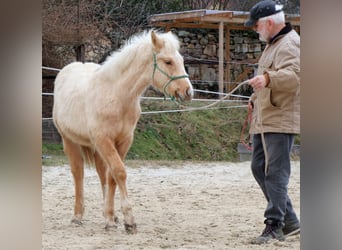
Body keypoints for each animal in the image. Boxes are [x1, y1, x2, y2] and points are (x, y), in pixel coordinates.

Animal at [52, 30, 194, 233]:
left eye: (181, 60)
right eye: (168, 62)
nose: (188, 92)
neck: (117, 96)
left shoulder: (124, 140)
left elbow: (112, 176)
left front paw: (111, 217)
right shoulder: (103, 139)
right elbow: (119, 172)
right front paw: (129, 220)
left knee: (101, 172)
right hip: (69, 140)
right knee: (78, 173)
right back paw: (77, 216)